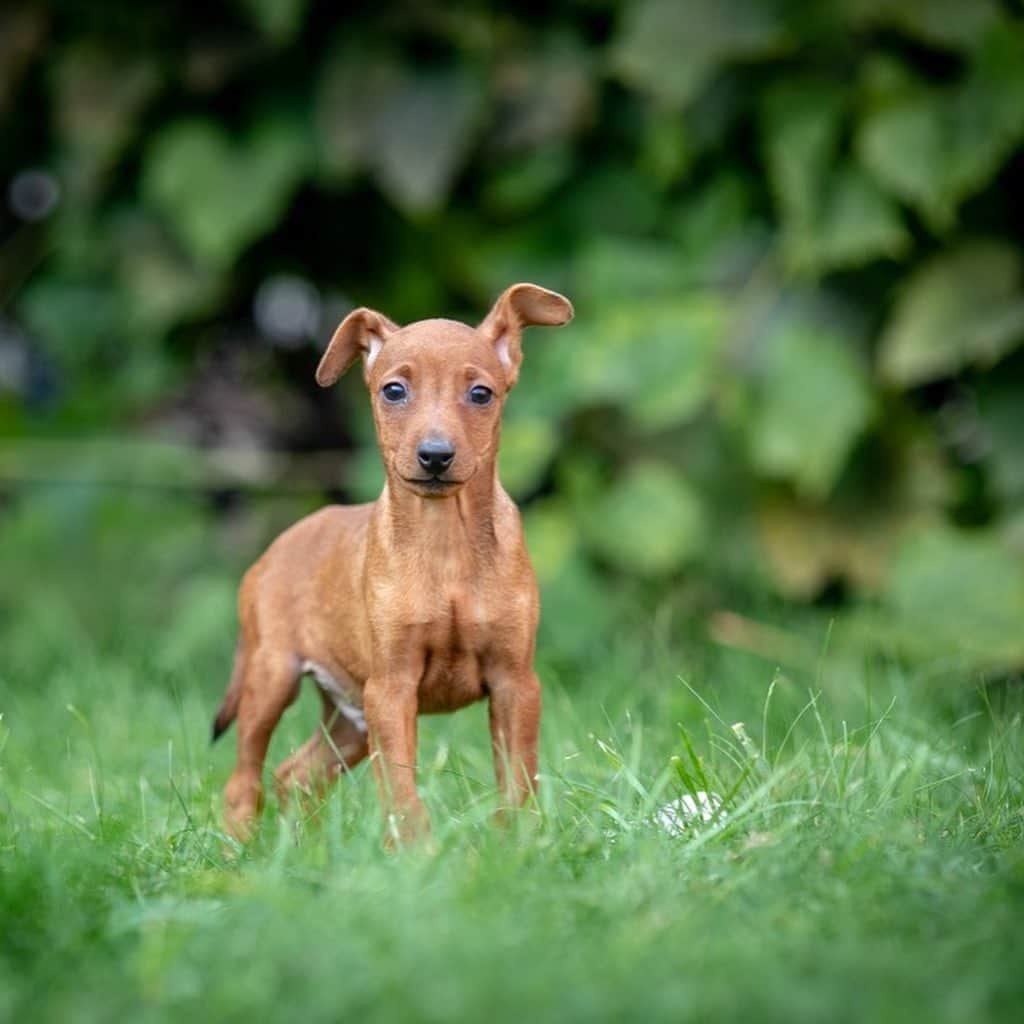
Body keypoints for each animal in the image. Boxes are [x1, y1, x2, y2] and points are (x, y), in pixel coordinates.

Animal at [210, 280, 573, 839]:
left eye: (481, 394)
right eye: (394, 390)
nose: (435, 455)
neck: (445, 542)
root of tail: (272, 550)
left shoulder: (515, 683)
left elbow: (518, 779)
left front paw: (518, 843)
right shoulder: (392, 687)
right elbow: (402, 788)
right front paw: (415, 850)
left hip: (351, 716)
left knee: (296, 774)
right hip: (273, 678)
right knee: (244, 782)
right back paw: (241, 848)